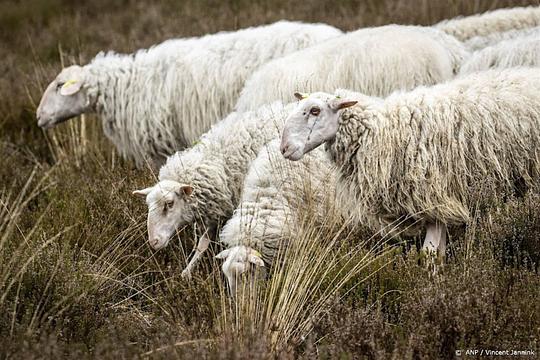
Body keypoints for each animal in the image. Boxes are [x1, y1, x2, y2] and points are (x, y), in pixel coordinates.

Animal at [132, 102, 292, 278]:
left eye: (169, 203)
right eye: (148, 205)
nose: (153, 243)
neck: (221, 162)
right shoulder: (215, 208)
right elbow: (202, 243)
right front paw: (187, 272)